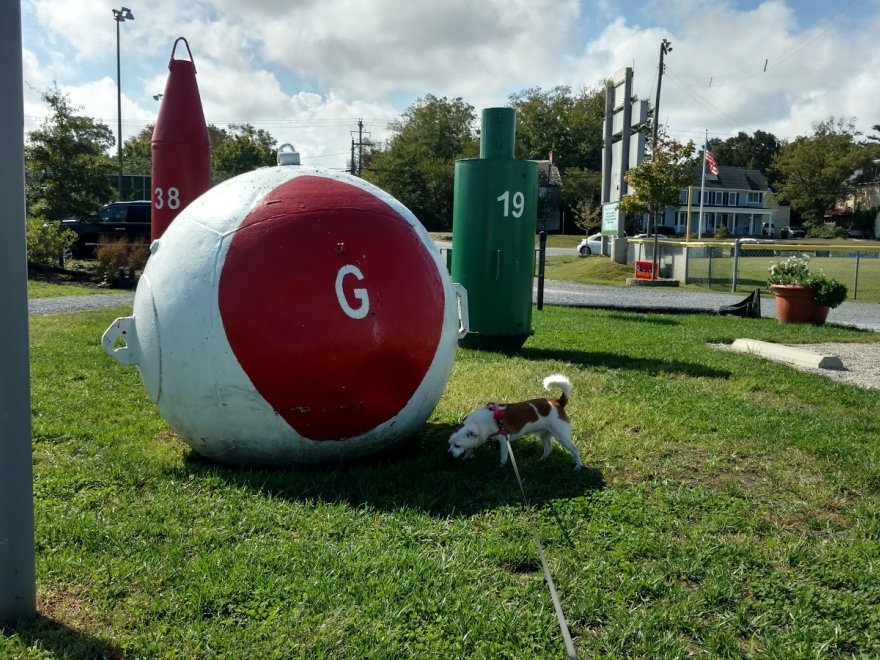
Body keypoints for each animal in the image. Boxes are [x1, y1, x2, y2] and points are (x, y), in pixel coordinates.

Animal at [450, 374, 580, 472]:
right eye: (449, 444)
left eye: (457, 445)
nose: (449, 453)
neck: (481, 423)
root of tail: (558, 402)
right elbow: (469, 448)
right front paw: (467, 457)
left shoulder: (504, 440)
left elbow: (503, 456)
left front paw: (501, 467)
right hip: (545, 433)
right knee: (549, 448)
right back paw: (541, 460)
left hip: (562, 436)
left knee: (574, 450)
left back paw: (578, 466)